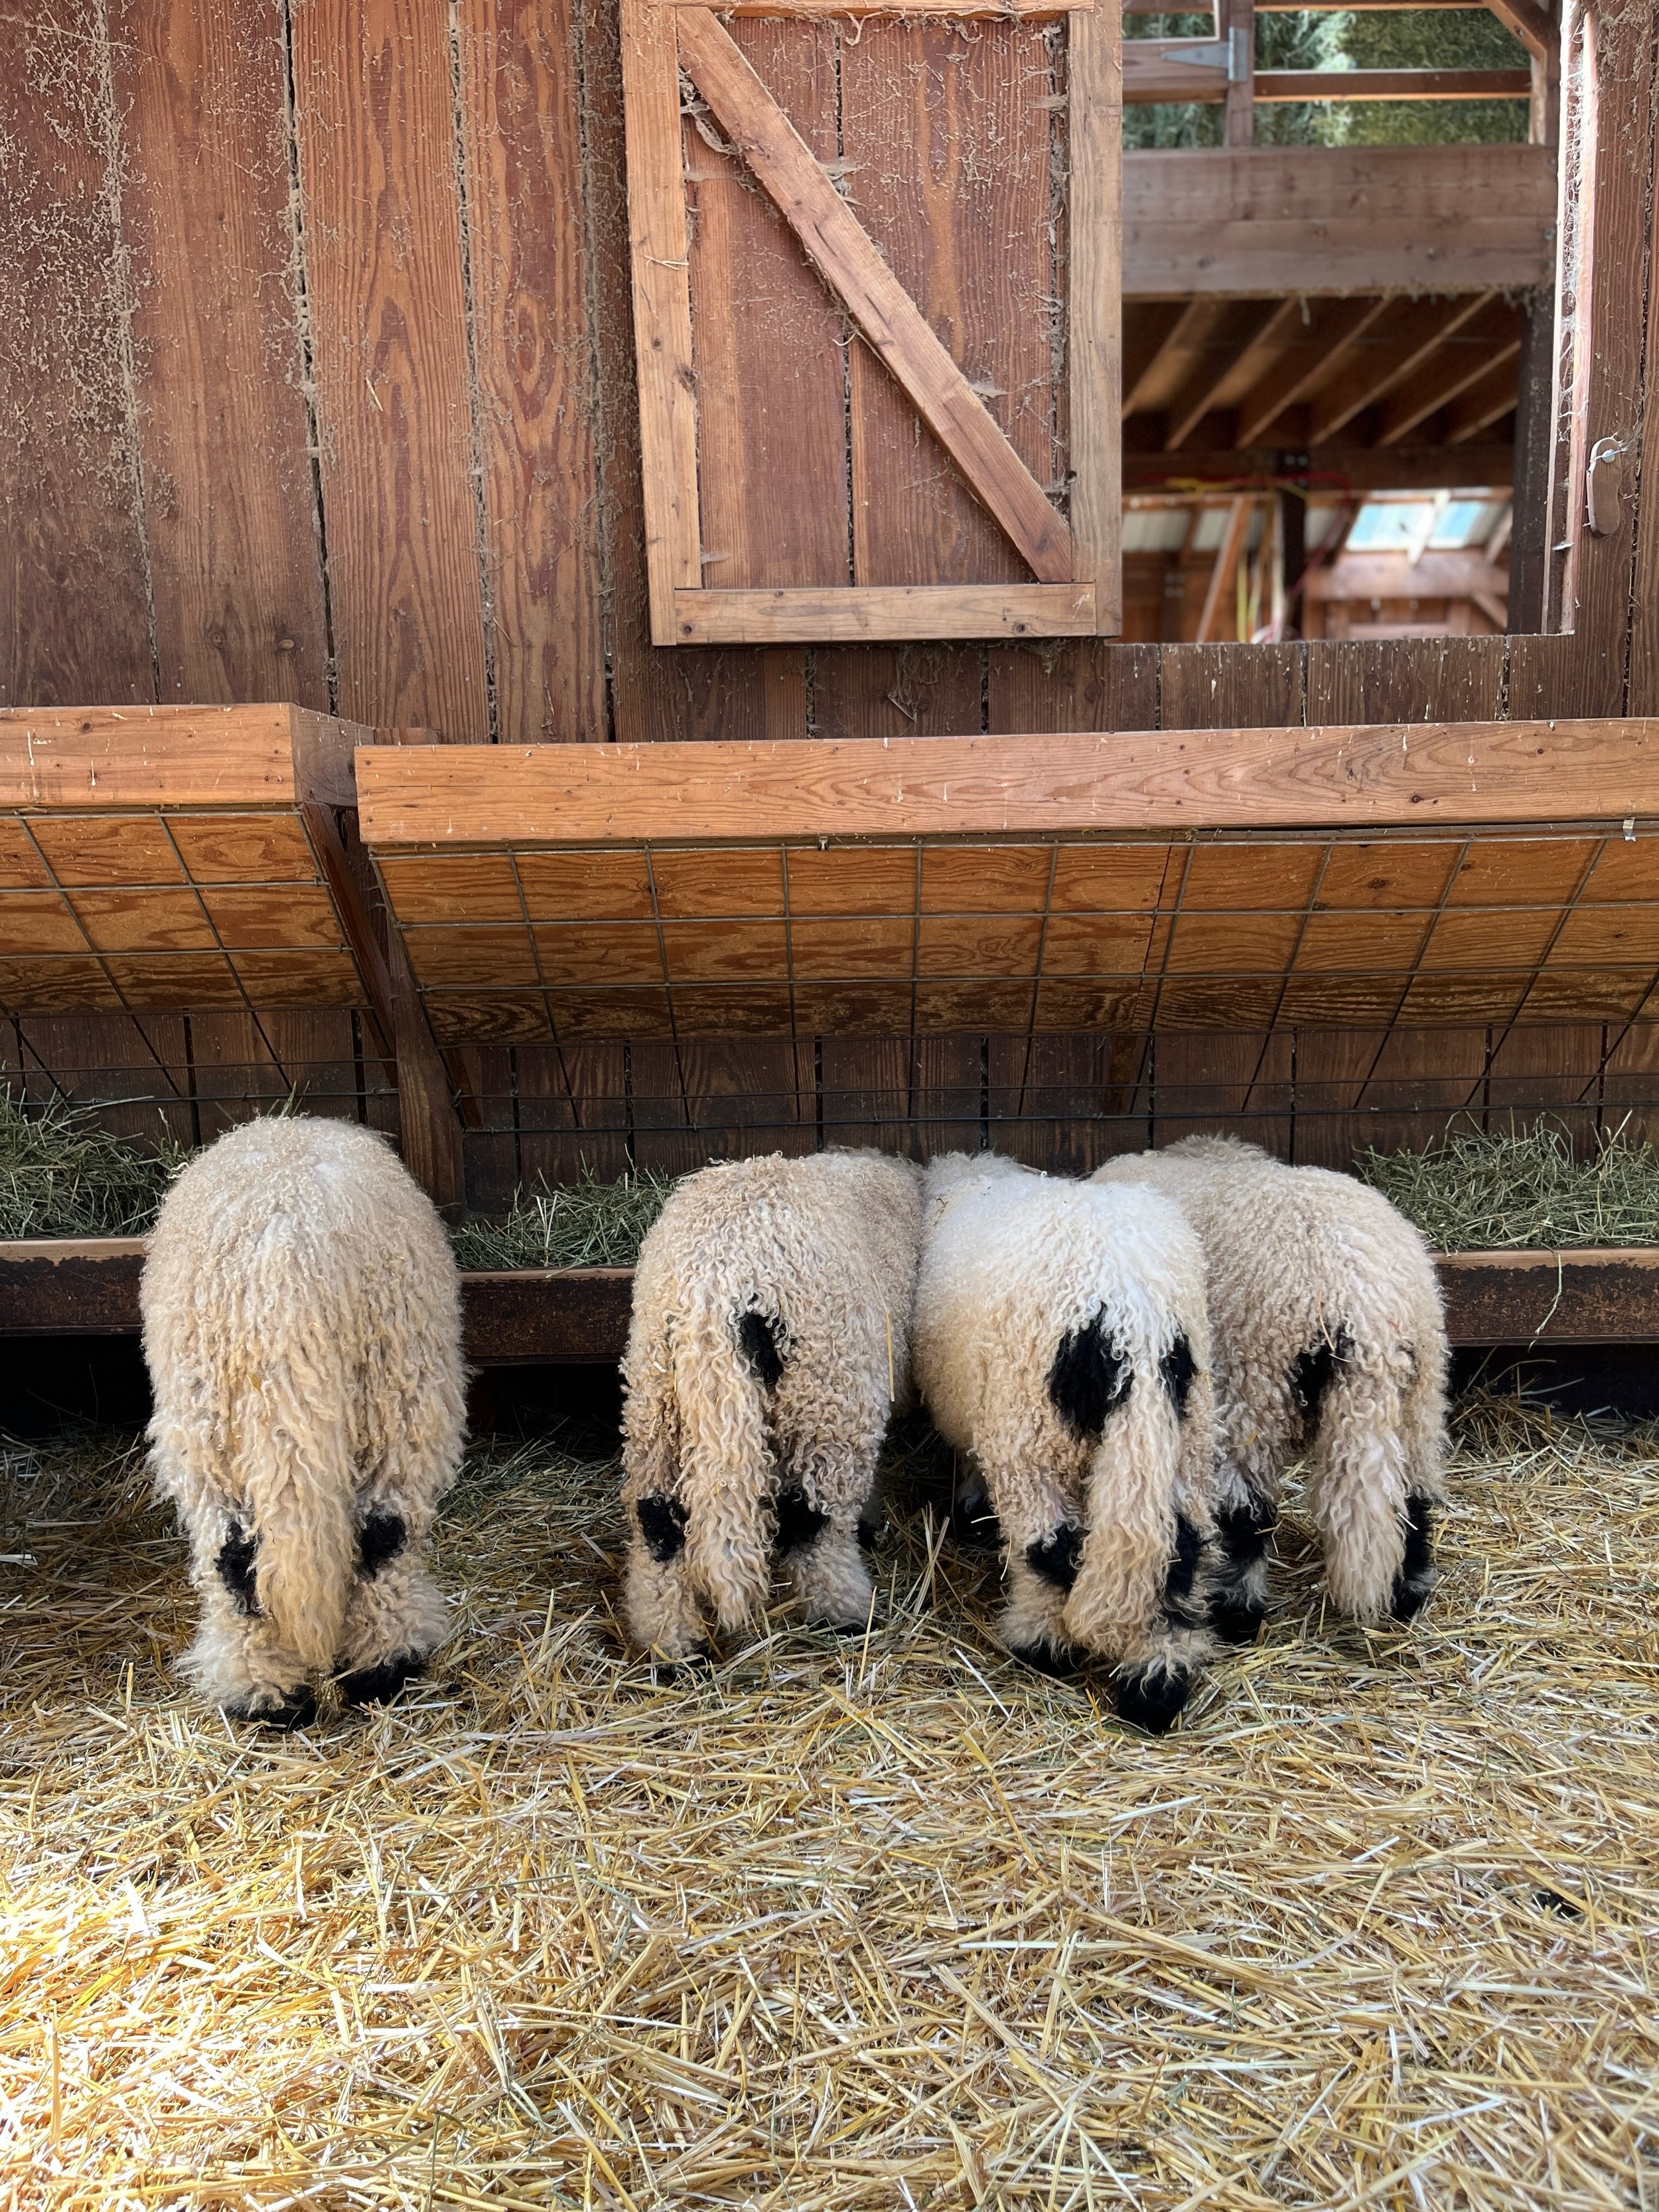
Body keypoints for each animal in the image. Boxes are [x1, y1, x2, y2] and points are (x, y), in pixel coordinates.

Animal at [142, 1116, 465, 1727]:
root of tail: (284, 1255)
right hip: (394, 1388)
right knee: (371, 1533)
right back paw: (368, 1669)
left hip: (210, 1418)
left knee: (242, 1552)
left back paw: (272, 1690)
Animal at [621, 1148, 923, 1662]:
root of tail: (713, 1283)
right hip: (825, 1392)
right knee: (815, 1519)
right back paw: (842, 1612)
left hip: (655, 1397)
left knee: (657, 1524)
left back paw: (674, 1645)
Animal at [913, 1153, 1217, 1733]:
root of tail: (1129, 1315)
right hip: (1185, 1436)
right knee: (1179, 1547)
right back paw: (1155, 1686)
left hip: (1030, 1435)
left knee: (1046, 1542)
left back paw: (1039, 1644)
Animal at [1091, 1137, 1448, 1639]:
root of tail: (1359, 1296)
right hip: (1421, 1389)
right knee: (1415, 1494)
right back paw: (1408, 1594)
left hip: (1254, 1383)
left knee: (1247, 1510)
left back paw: (1237, 1613)